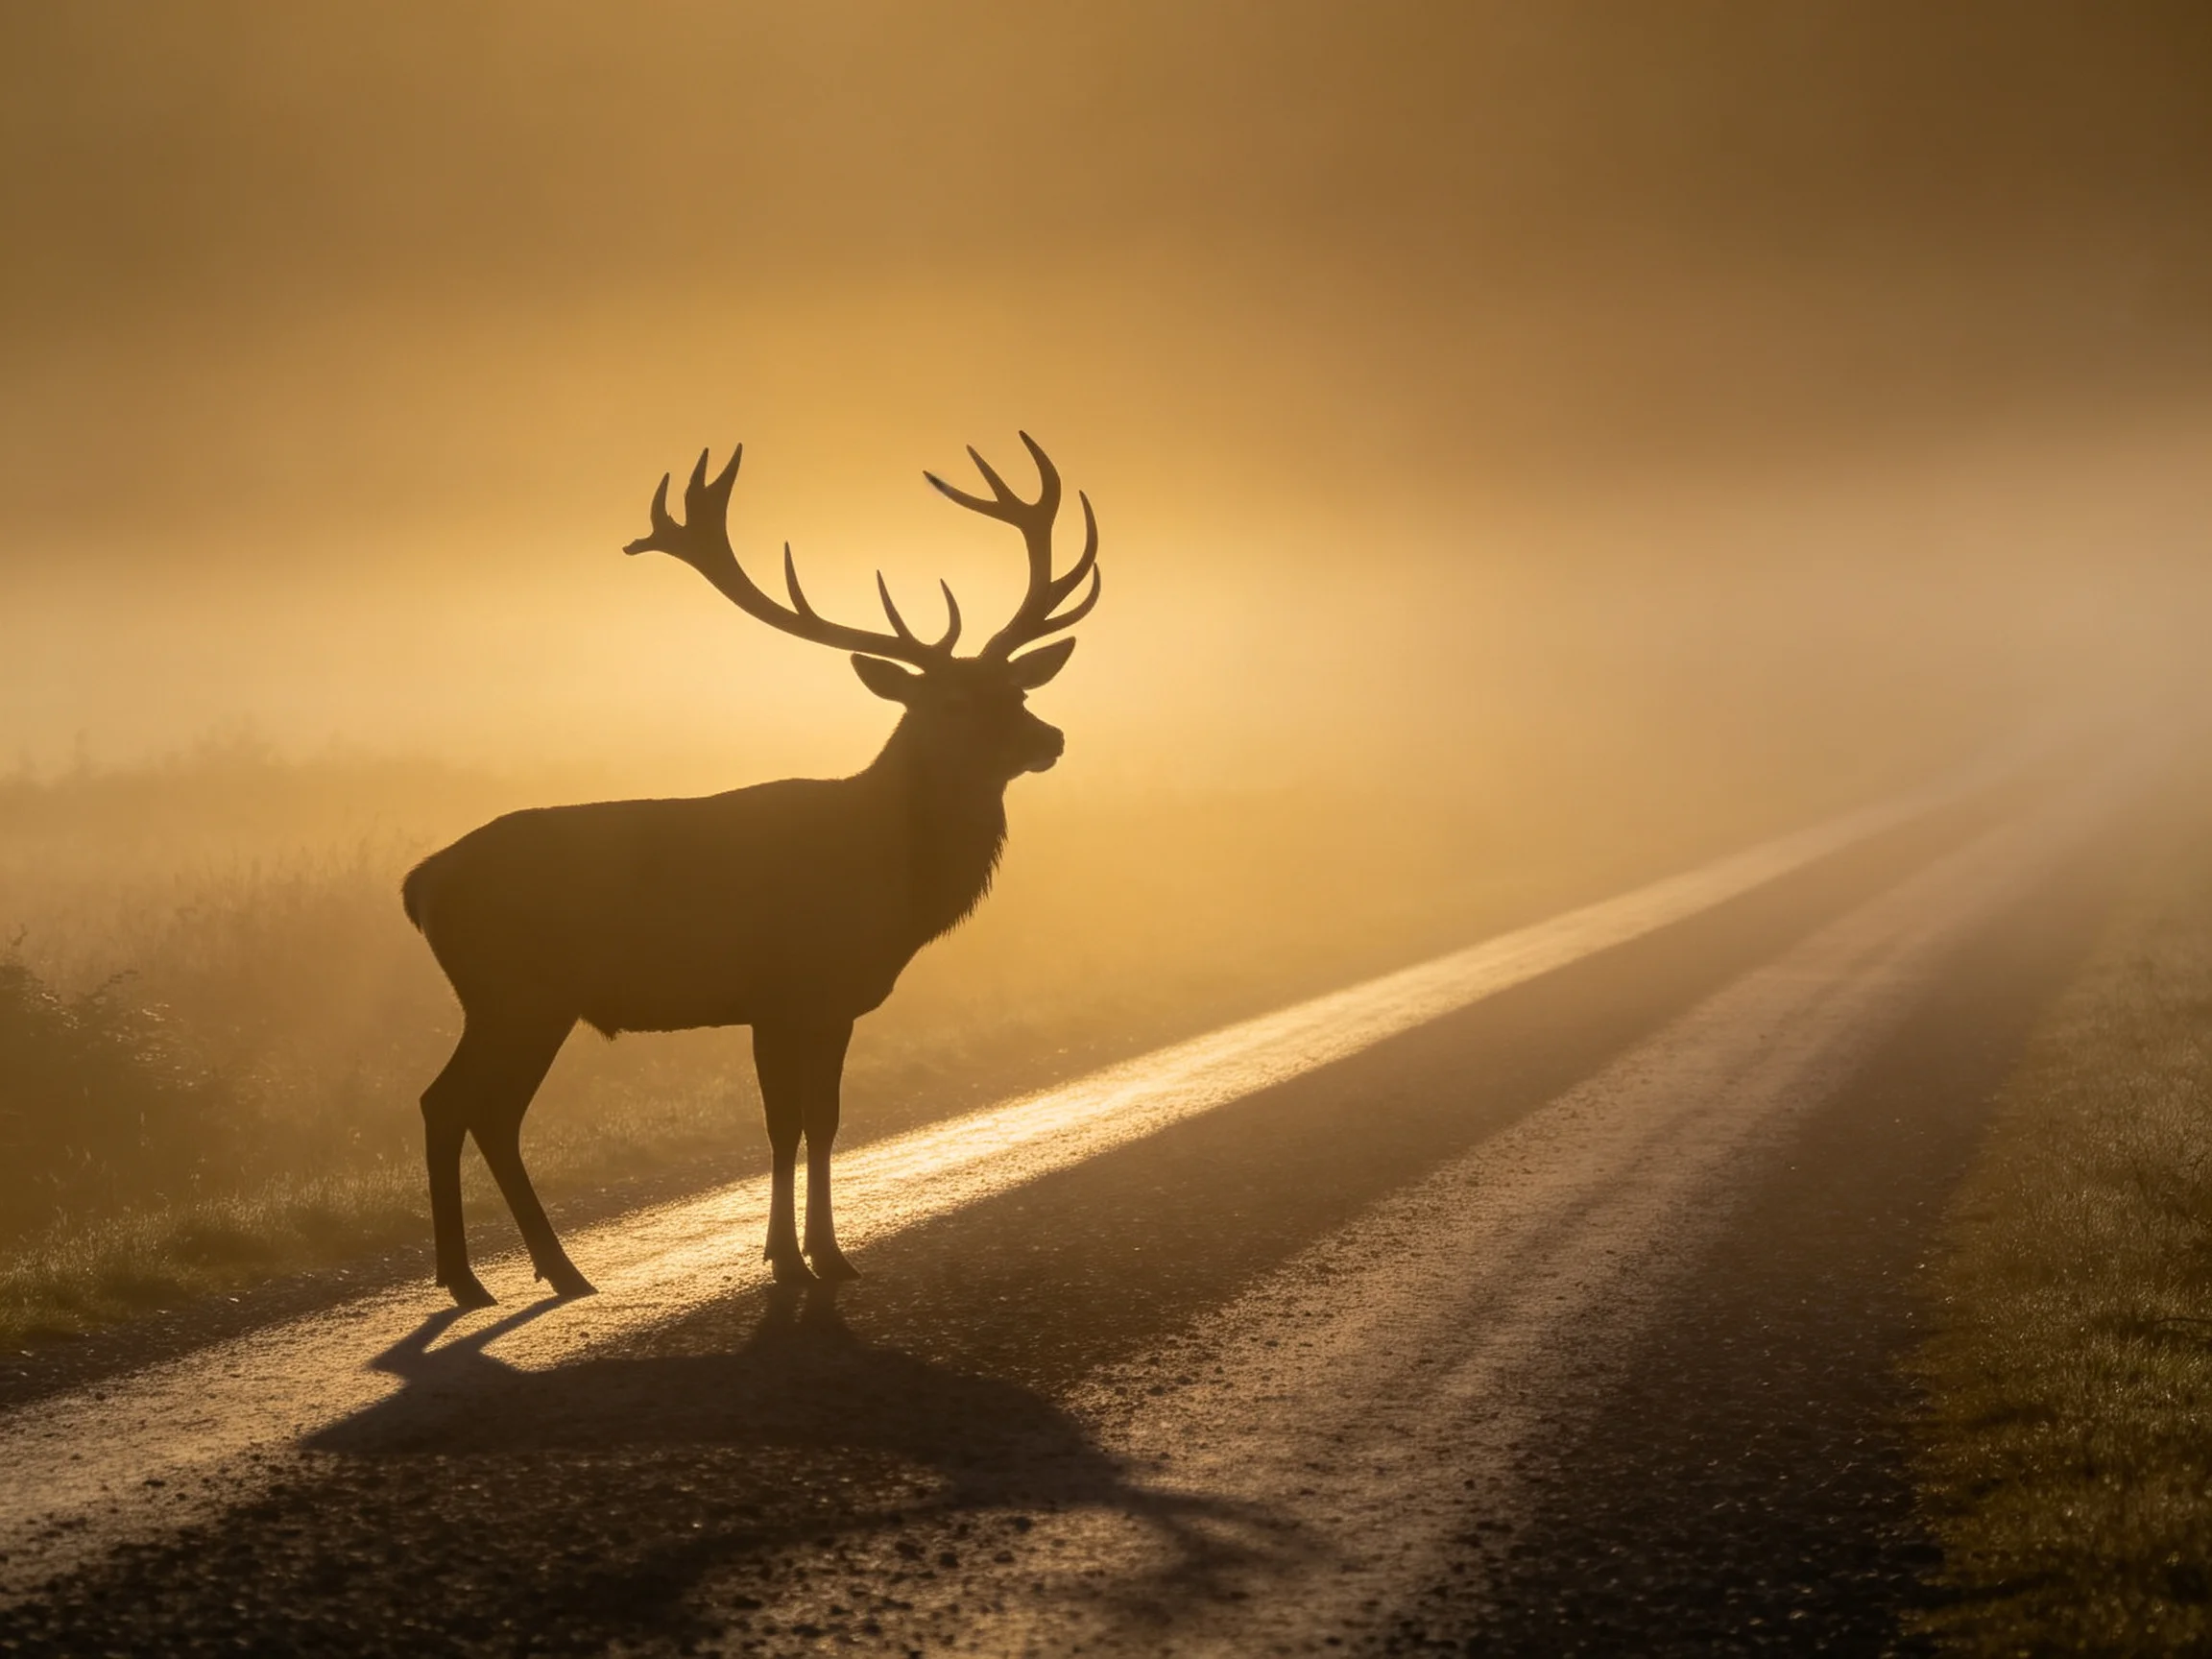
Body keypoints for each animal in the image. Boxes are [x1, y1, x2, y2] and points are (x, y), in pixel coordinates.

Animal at [401, 434, 1099, 1308]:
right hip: (513, 991)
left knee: (482, 1110)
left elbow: (824, 1120)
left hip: (522, 1001)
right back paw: (473, 1280)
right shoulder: (781, 991)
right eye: (949, 703)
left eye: (1015, 688)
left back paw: (549, 1272)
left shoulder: (832, 1003)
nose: (1051, 739)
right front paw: (795, 1261)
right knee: (453, 1103)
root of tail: (419, 885)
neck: (882, 876)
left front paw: (823, 1254)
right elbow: (783, 1124)